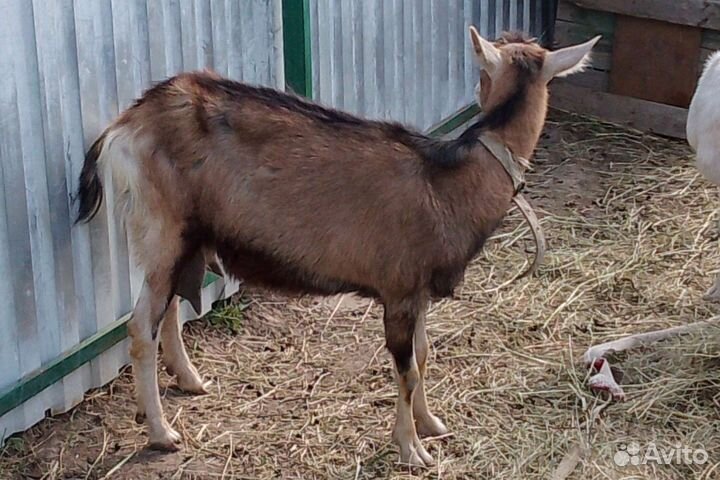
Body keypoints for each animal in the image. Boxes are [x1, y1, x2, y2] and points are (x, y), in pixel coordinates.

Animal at [75, 28, 599, 467]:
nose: (475, 92)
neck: (448, 180)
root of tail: (125, 125)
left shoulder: (418, 293)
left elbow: (424, 355)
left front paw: (431, 424)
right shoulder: (399, 291)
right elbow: (407, 370)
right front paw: (411, 450)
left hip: (185, 239)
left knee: (168, 311)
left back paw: (190, 380)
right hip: (162, 229)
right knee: (141, 326)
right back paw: (162, 433)